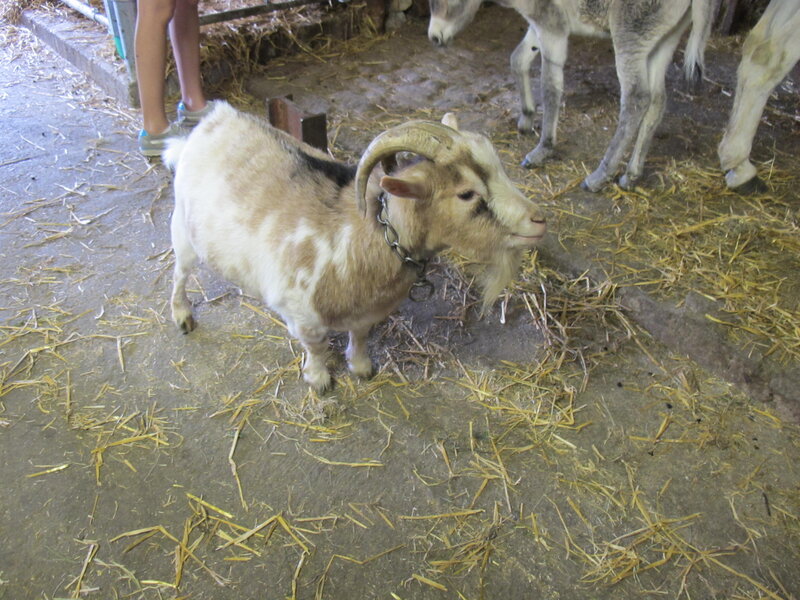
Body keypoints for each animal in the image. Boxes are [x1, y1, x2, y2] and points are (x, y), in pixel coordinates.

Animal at [164, 102, 547, 391]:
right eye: (466, 193)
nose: (539, 220)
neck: (365, 235)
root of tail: (216, 118)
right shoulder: (302, 314)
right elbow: (316, 346)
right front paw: (319, 379)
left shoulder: (368, 311)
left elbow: (361, 335)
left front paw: (361, 367)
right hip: (182, 229)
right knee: (180, 273)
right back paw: (183, 316)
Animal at [428, 0, 716, 191]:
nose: (434, 38)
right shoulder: (539, 21)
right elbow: (518, 59)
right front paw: (526, 117)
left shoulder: (551, 26)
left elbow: (550, 86)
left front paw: (543, 149)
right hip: (665, 37)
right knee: (657, 101)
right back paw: (632, 175)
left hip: (631, 33)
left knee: (636, 100)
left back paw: (600, 175)